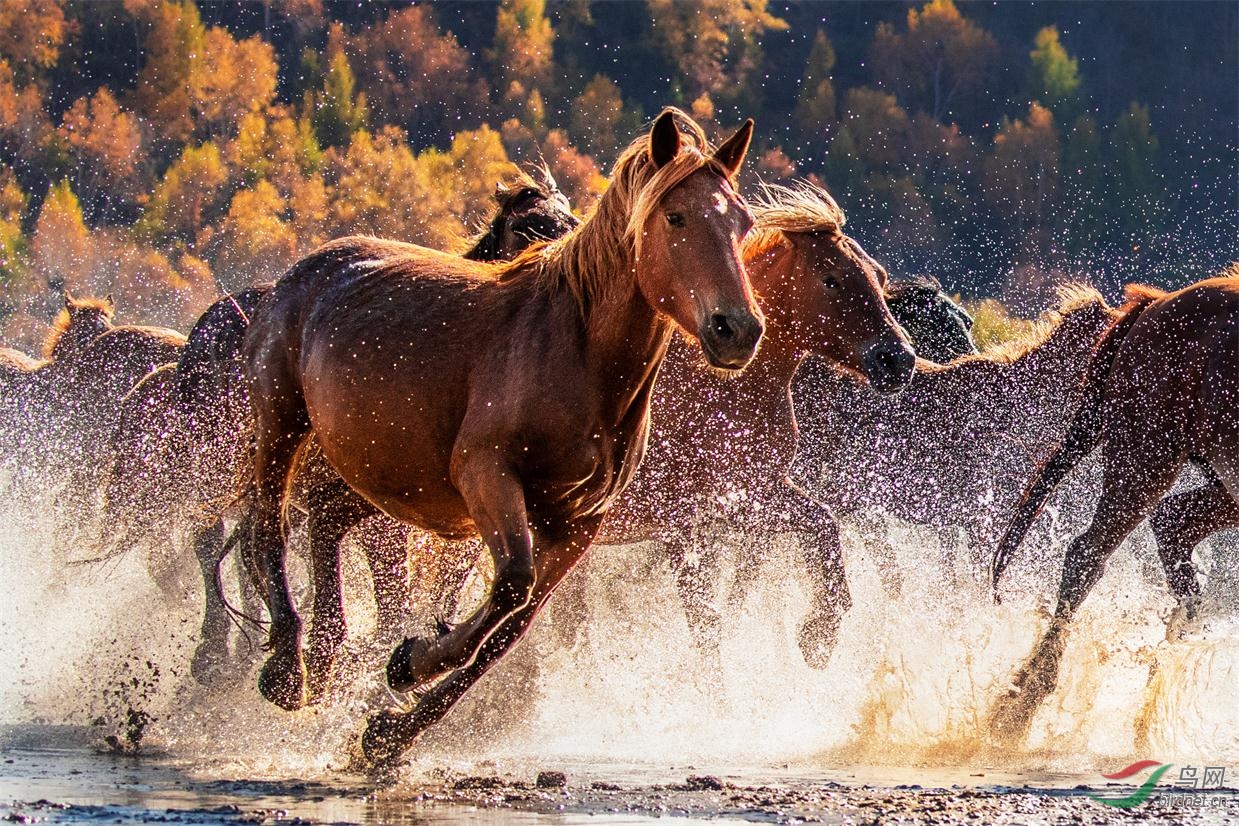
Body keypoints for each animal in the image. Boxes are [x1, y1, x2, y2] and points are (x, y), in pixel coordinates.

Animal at [240, 109, 758, 762]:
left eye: (742, 222)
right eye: (676, 216)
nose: (738, 329)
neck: (578, 355)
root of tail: (309, 267)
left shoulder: (577, 525)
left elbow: (509, 630)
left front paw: (389, 728)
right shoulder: (486, 474)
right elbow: (510, 586)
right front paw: (409, 664)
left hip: (367, 473)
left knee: (322, 530)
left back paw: (323, 660)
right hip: (281, 422)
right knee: (268, 523)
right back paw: (288, 672)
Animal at [986, 272, 1239, 743]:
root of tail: (1156, 303)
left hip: (1215, 481)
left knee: (1173, 523)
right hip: (1145, 457)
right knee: (1088, 553)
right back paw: (1018, 709)